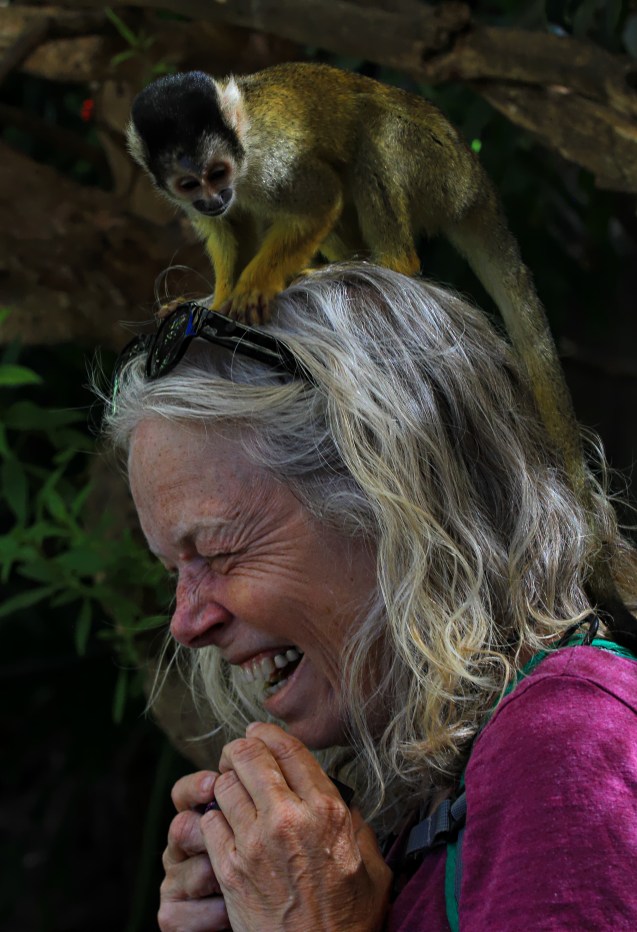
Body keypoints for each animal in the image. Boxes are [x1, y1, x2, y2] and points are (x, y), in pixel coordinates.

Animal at [126, 62, 634, 633]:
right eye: (189, 183)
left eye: (217, 172)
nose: (211, 198)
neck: (243, 160)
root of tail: (477, 180)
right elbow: (230, 233)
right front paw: (217, 295)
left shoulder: (272, 164)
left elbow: (317, 199)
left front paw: (253, 287)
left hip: (436, 167)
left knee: (373, 142)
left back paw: (389, 263)